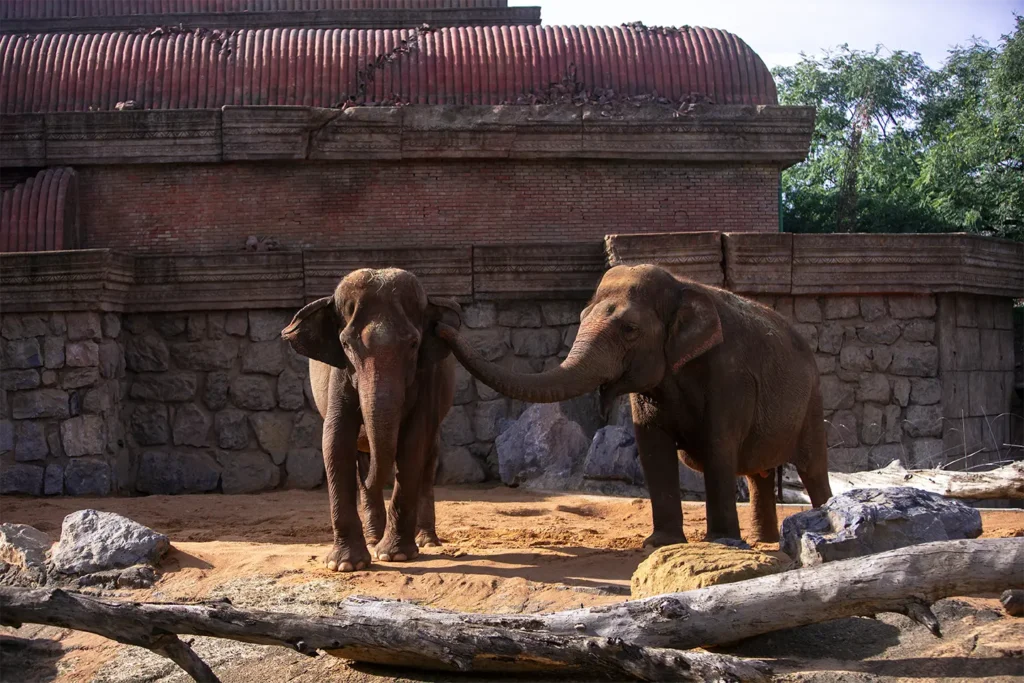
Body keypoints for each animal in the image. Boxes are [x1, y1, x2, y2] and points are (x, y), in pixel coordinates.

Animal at [281, 268, 461, 572]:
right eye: (345, 344)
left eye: (413, 344)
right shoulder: (339, 373)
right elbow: (335, 440)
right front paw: (345, 564)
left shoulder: (428, 376)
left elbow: (413, 442)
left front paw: (395, 556)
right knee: (362, 458)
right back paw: (374, 537)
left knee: (428, 456)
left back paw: (425, 541)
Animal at [436, 264, 832, 545]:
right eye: (581, 319)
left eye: (629, 329)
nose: (445, 321)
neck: (681, 284)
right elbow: (651, 445)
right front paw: (660, 544)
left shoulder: (729, 377)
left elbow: (718, 445)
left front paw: (720, 543)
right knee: (758, 474)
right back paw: (764, 541)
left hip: (813, 401)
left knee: (812, 468)